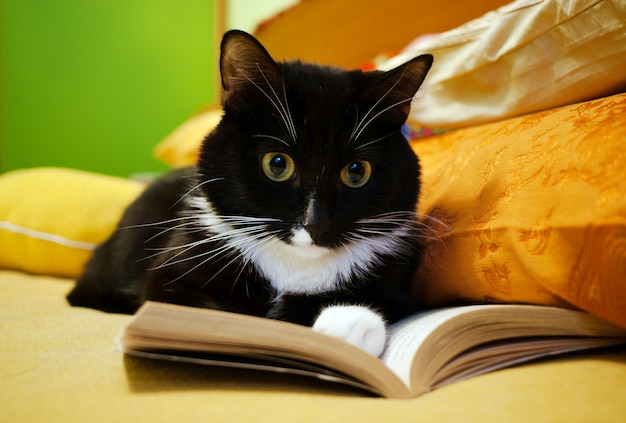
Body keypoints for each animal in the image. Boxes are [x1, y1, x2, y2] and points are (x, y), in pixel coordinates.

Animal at [66, 29, 432, 358]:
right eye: (277, 164)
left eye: (356, 171)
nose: (316, 224)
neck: (292, 263)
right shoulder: (175, 265)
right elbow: (190, 309)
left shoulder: (399, 281)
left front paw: (348, 325)